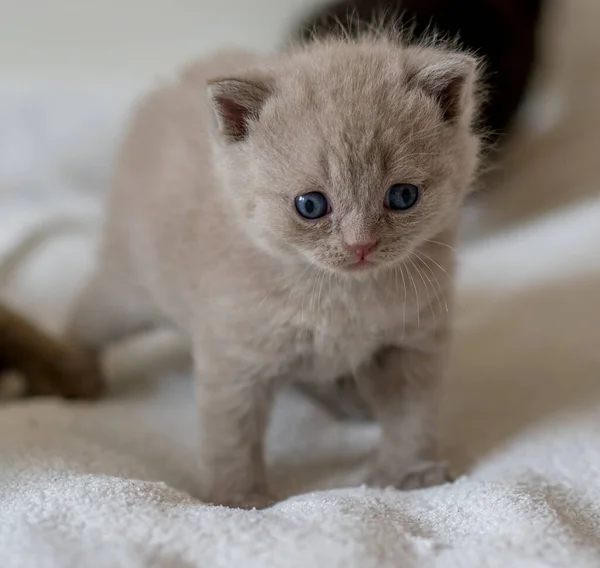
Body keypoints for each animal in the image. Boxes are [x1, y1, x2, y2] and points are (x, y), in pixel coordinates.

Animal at [67, 34, 478, 510]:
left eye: (403, 196)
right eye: (311, 205)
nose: (360, 245)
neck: (341, 297)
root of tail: (166, 88)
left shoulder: (412, 341)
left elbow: (412, 414)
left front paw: (409, 475)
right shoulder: (235, 354)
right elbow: (232, 436)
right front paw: (238, 500)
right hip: (129, 286)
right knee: (86, 314)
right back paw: (74, 373)